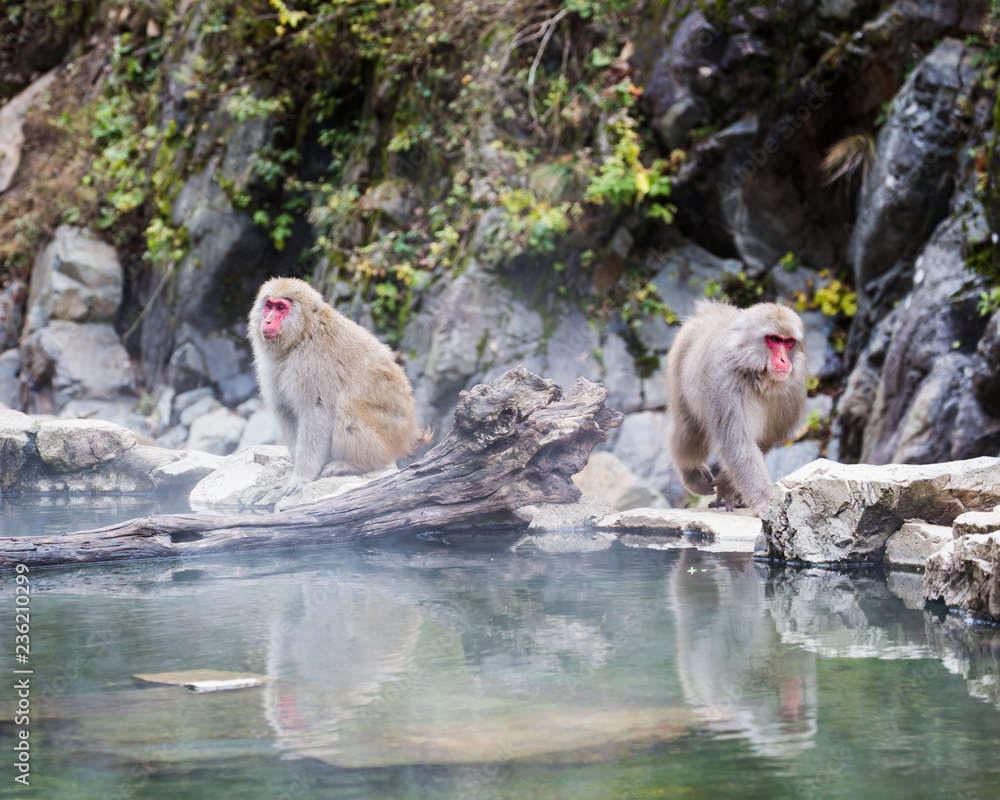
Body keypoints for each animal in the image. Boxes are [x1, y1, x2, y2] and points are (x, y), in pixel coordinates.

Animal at [248, 277, 428, 496]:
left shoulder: (313, 364)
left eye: (280, 307)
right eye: (269, 305)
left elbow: (317, 411)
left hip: (385, 438)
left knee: (345, 409)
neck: (302, 336)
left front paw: (301, 477)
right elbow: (286, 411)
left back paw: (353, 464)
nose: (267, 321)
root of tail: (408, 436)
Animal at [665, 300, 807, 514]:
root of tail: (710, 309)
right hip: (678, 366)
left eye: (788, 341)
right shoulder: (725, 382)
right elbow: (735, 442)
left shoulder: (793, 392)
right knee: (690, 430)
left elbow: (762, 442)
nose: (784, 360)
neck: (759, 376)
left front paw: (727, 485)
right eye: (774, 339)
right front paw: (765, 503)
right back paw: (690, 472)